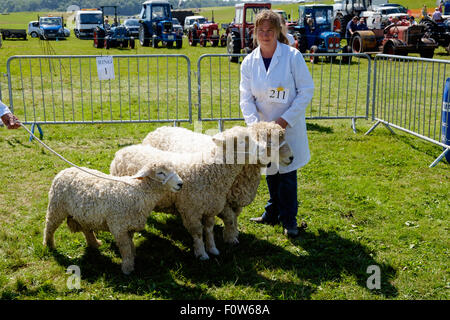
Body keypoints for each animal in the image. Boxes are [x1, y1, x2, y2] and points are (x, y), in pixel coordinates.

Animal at [41, 162, 183, 276]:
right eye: (160, 173)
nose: (180, 184)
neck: (138, 191)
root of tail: (64, 170)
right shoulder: (118, 227)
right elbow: (125, 248)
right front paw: (127, 268)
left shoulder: (128, 227)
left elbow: (130, 245)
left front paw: (133, 257)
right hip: (56, 207)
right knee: (49, 226)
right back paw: (49, 244)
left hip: (84, 215)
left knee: (86, 229)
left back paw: (94, 243)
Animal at [110, 125, 270, 260]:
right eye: (242, 142)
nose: (263, 150)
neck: (208, 170)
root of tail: (123, 151)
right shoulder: (191, 209)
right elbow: (198, 233)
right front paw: (201, 253)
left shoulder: (210, 207)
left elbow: (209, 230)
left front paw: (213, 249)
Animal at [142, 121, 294, 244]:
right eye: (271, 142)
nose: (291, 158)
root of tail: (159, 129)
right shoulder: (221, 200)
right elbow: (230, 218)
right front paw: (231, 238)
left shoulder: (236, 199)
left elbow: (235, 217)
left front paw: (233, 233)